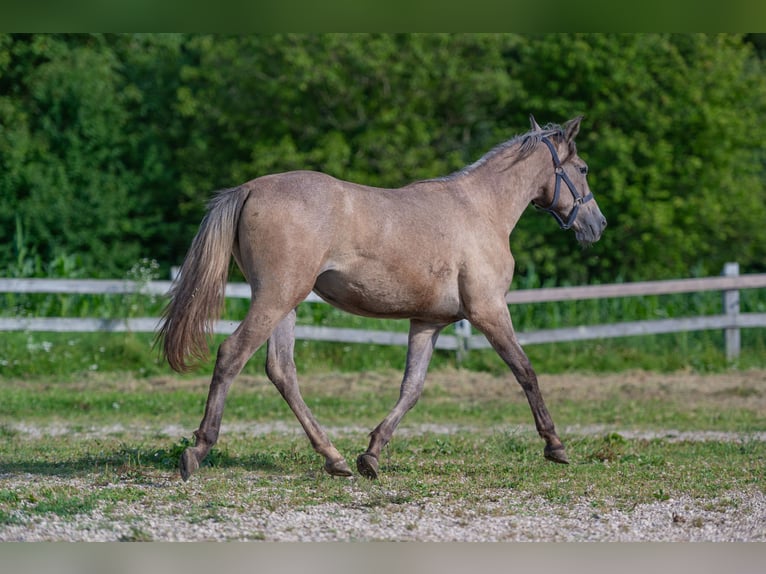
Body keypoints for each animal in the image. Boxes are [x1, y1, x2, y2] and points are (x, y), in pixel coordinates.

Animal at [159, 116, 608, 482]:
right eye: (583, 169)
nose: (598, 224)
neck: (481, 210)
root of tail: (250, 188)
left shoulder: (428, 322)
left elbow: (411, 389)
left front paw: (371, 454)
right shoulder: (489, 311)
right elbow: (525, 371)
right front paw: (555, 445)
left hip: (286, 303)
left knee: (282, 371)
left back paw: (334, 457)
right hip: (275, 297)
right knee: (232, 354)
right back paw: (198, 449)